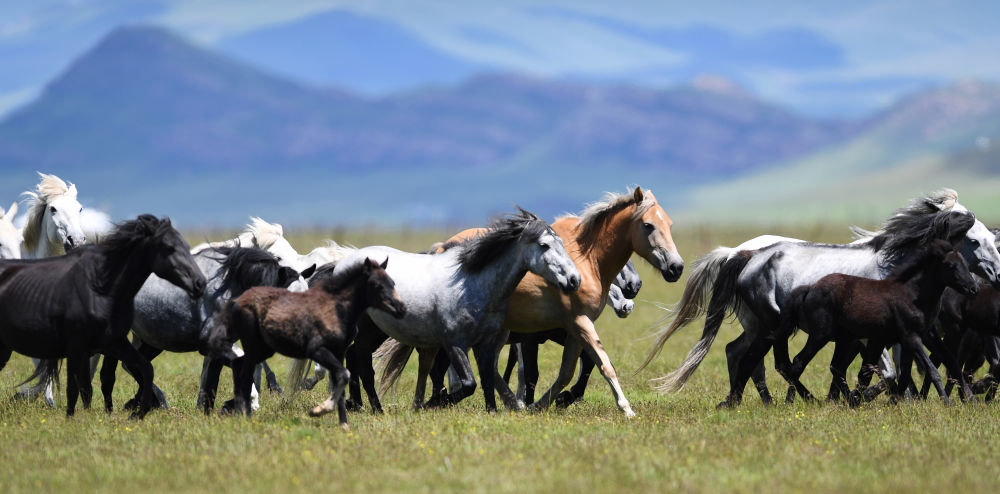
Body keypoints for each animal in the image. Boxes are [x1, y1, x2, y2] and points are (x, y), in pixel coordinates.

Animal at [0, 214, 205, 418]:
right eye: (169, 248)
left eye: (186, 246)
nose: (200, 283)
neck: (101, 287)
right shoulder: (77, 346)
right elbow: (76, 388)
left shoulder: (112, 343)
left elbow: (142, 369)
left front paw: (137, 412)